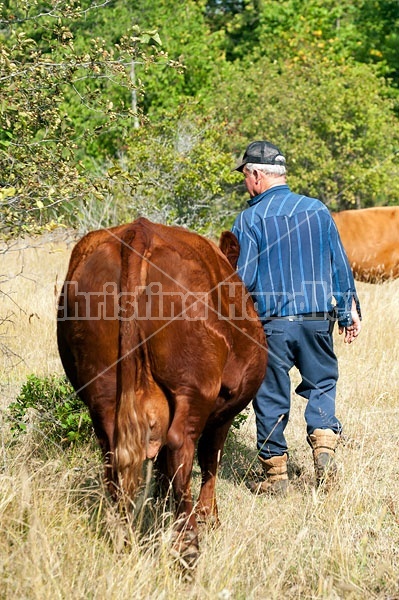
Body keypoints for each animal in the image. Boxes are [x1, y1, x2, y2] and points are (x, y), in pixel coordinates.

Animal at [56, 217, 268, 568]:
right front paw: (209, 517)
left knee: (115, 454)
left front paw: (159, 506)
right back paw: (187, 544)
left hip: (101, 390)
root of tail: (139, 231)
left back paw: (125, 536)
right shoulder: (224, 409)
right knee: (181, 445)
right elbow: (210, 459)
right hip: (194, 388)